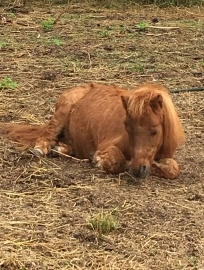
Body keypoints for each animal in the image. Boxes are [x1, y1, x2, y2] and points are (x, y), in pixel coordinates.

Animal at [0, 82, 185, 179]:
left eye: (154, 131)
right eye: (127, 127)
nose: (137, 169)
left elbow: (173, 169)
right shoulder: (108, 146)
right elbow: (116, 160)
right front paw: (99, 160)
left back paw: (60, 149)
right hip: (62, 112)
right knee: (48, 134)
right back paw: (42, 148)